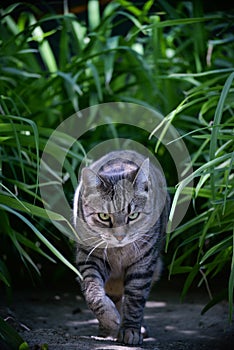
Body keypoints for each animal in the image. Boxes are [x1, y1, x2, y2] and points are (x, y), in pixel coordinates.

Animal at [73, 150, 170, 344]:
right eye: (104, 216)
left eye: (133, 215)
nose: (119, 236)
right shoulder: (89, 257)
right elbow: (93, 292)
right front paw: (109, 318)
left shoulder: (144, 263)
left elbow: (135, 299)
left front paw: (131, 329)